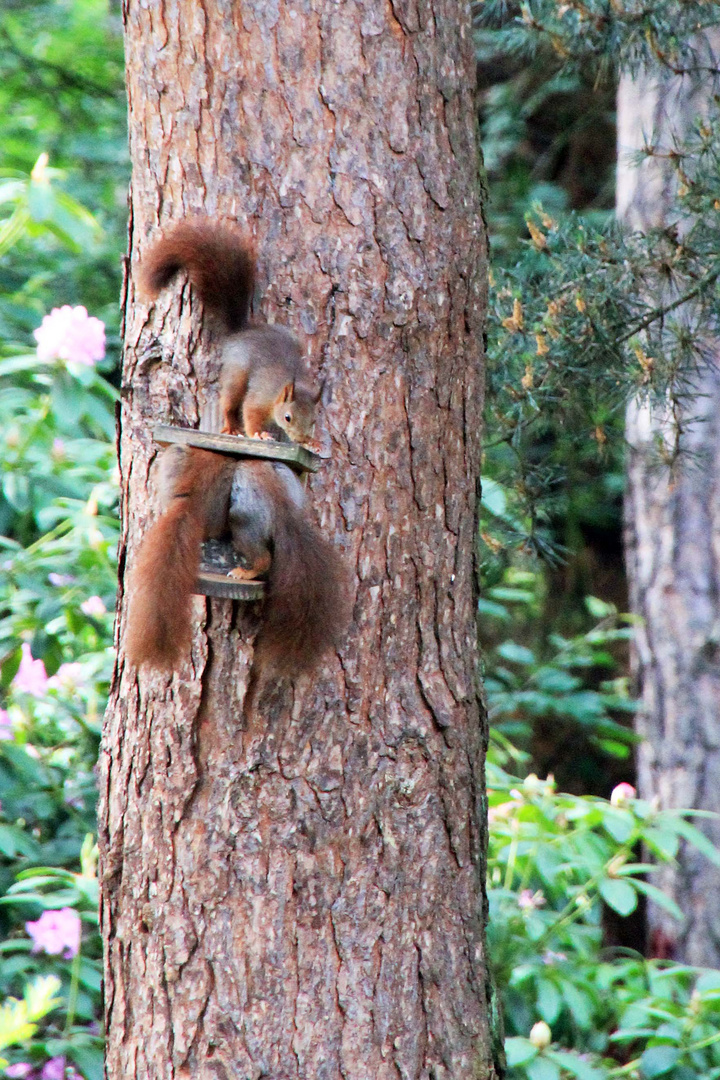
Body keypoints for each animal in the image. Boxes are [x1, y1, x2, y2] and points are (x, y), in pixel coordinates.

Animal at [137, 220, 321, 447]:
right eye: (288, 417)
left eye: (313, 421)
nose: (301, 439)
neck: (281, 390)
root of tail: (241, 331)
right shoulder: (261, 396)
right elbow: (250, 412)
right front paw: (259, 434)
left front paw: (313, 443)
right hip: (236, 373)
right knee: (229, 402)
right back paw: (231, 426)